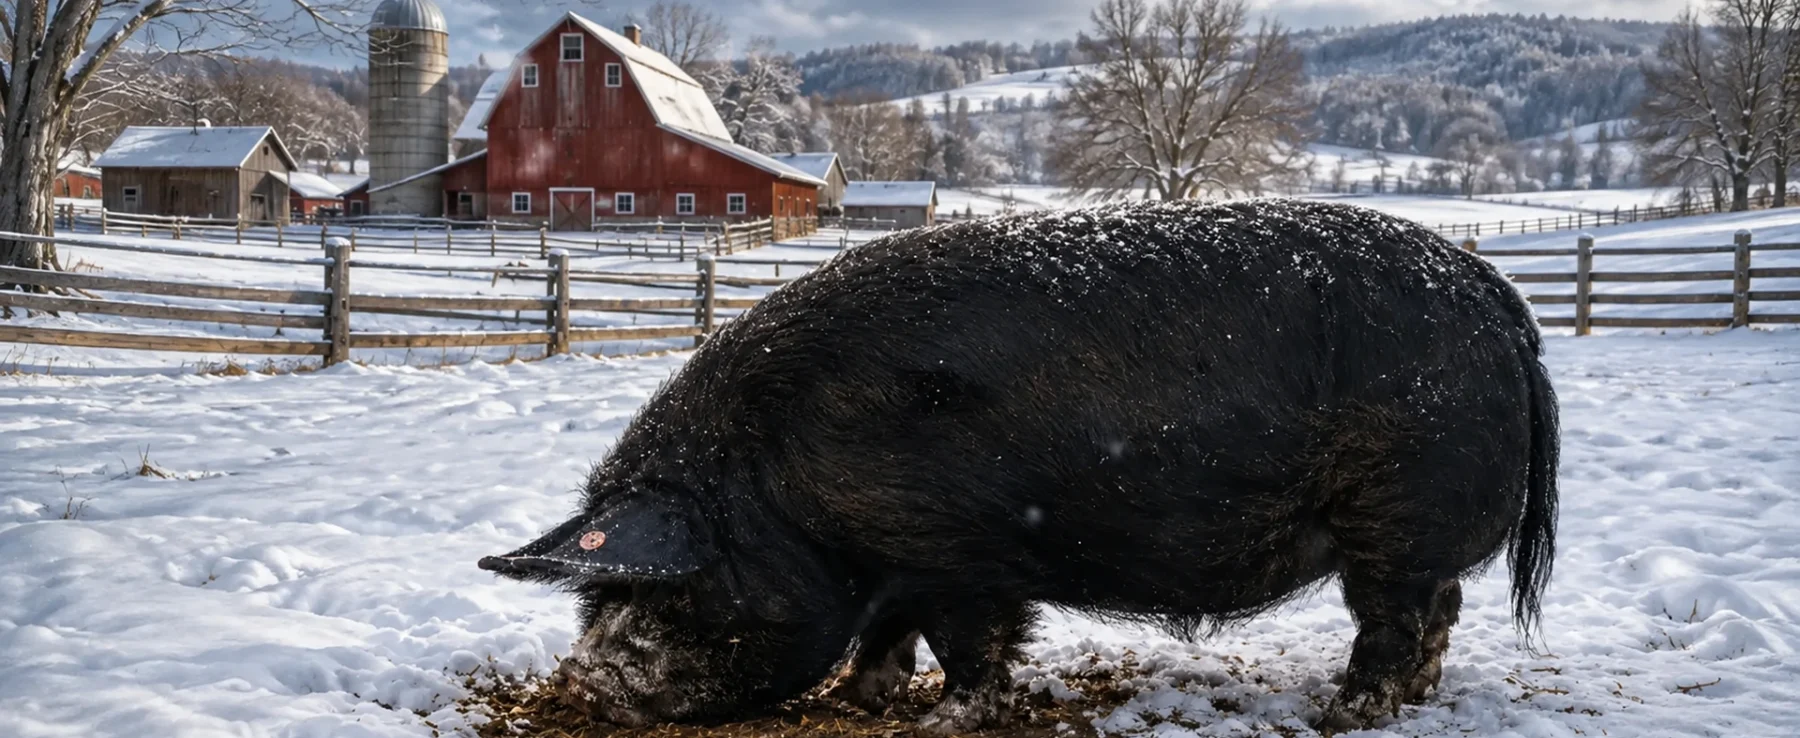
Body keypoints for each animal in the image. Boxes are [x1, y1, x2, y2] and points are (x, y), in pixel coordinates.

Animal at [479, 198, 1559, 735]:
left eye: (664, 592)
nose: (586, 679)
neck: (774, 483)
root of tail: (1503, 303)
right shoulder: (901, 560)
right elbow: (888, 634)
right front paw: (860, 702)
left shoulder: (958, 553)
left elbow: (970, 644)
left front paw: (942, 722)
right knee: (1445, 606)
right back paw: (1410, 698)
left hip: (1397, 510)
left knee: (1396, 615)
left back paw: (1350, 712)